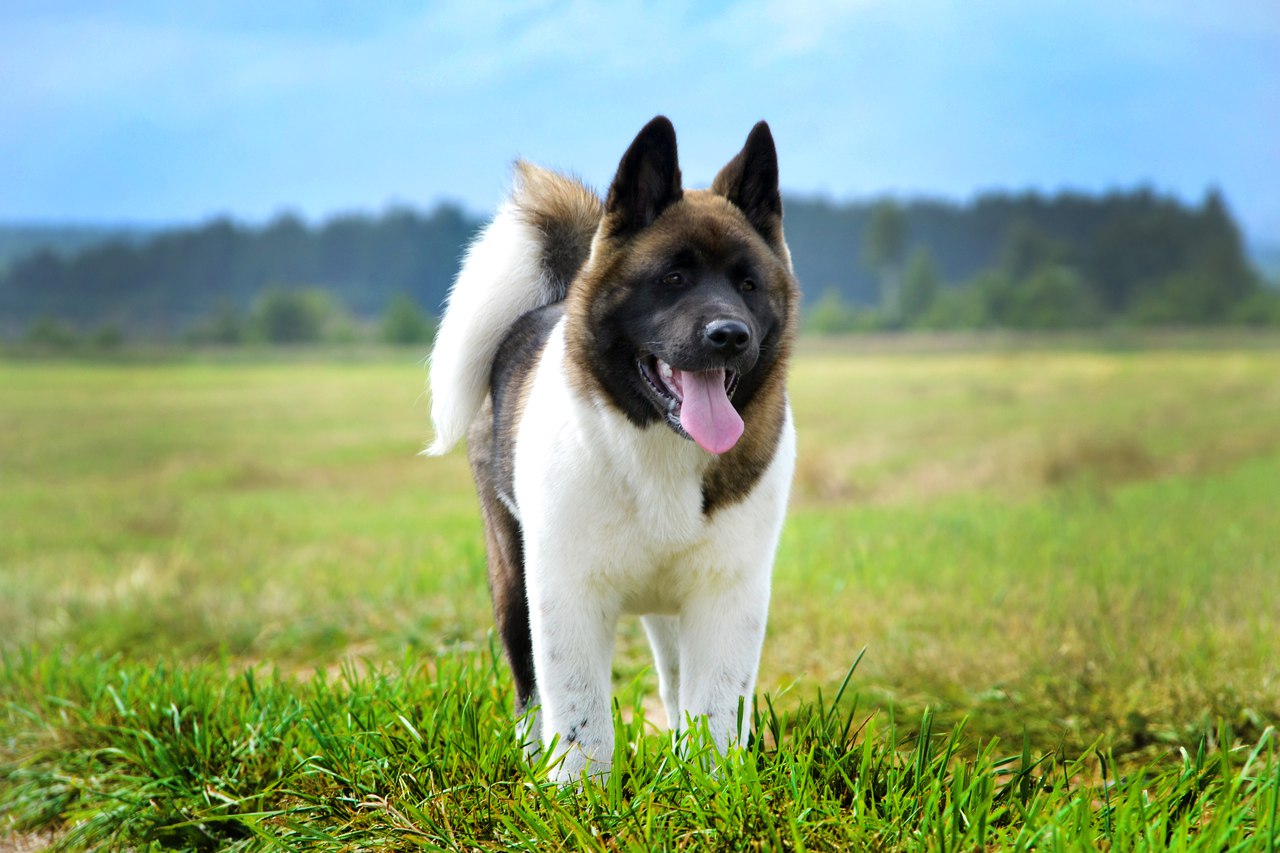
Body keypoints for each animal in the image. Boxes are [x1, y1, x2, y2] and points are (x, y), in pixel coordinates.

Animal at [427, 116, 799, 782]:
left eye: (748, 284)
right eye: (672, 279)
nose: (730, 335)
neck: (660, 443)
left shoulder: (727, 595)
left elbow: (715, 709)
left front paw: (711, 788)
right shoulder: (566, 593)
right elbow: (580, 716)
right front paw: (577, 795)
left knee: (676, 686)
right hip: (510, 577)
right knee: (529, 688)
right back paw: (530, 762)